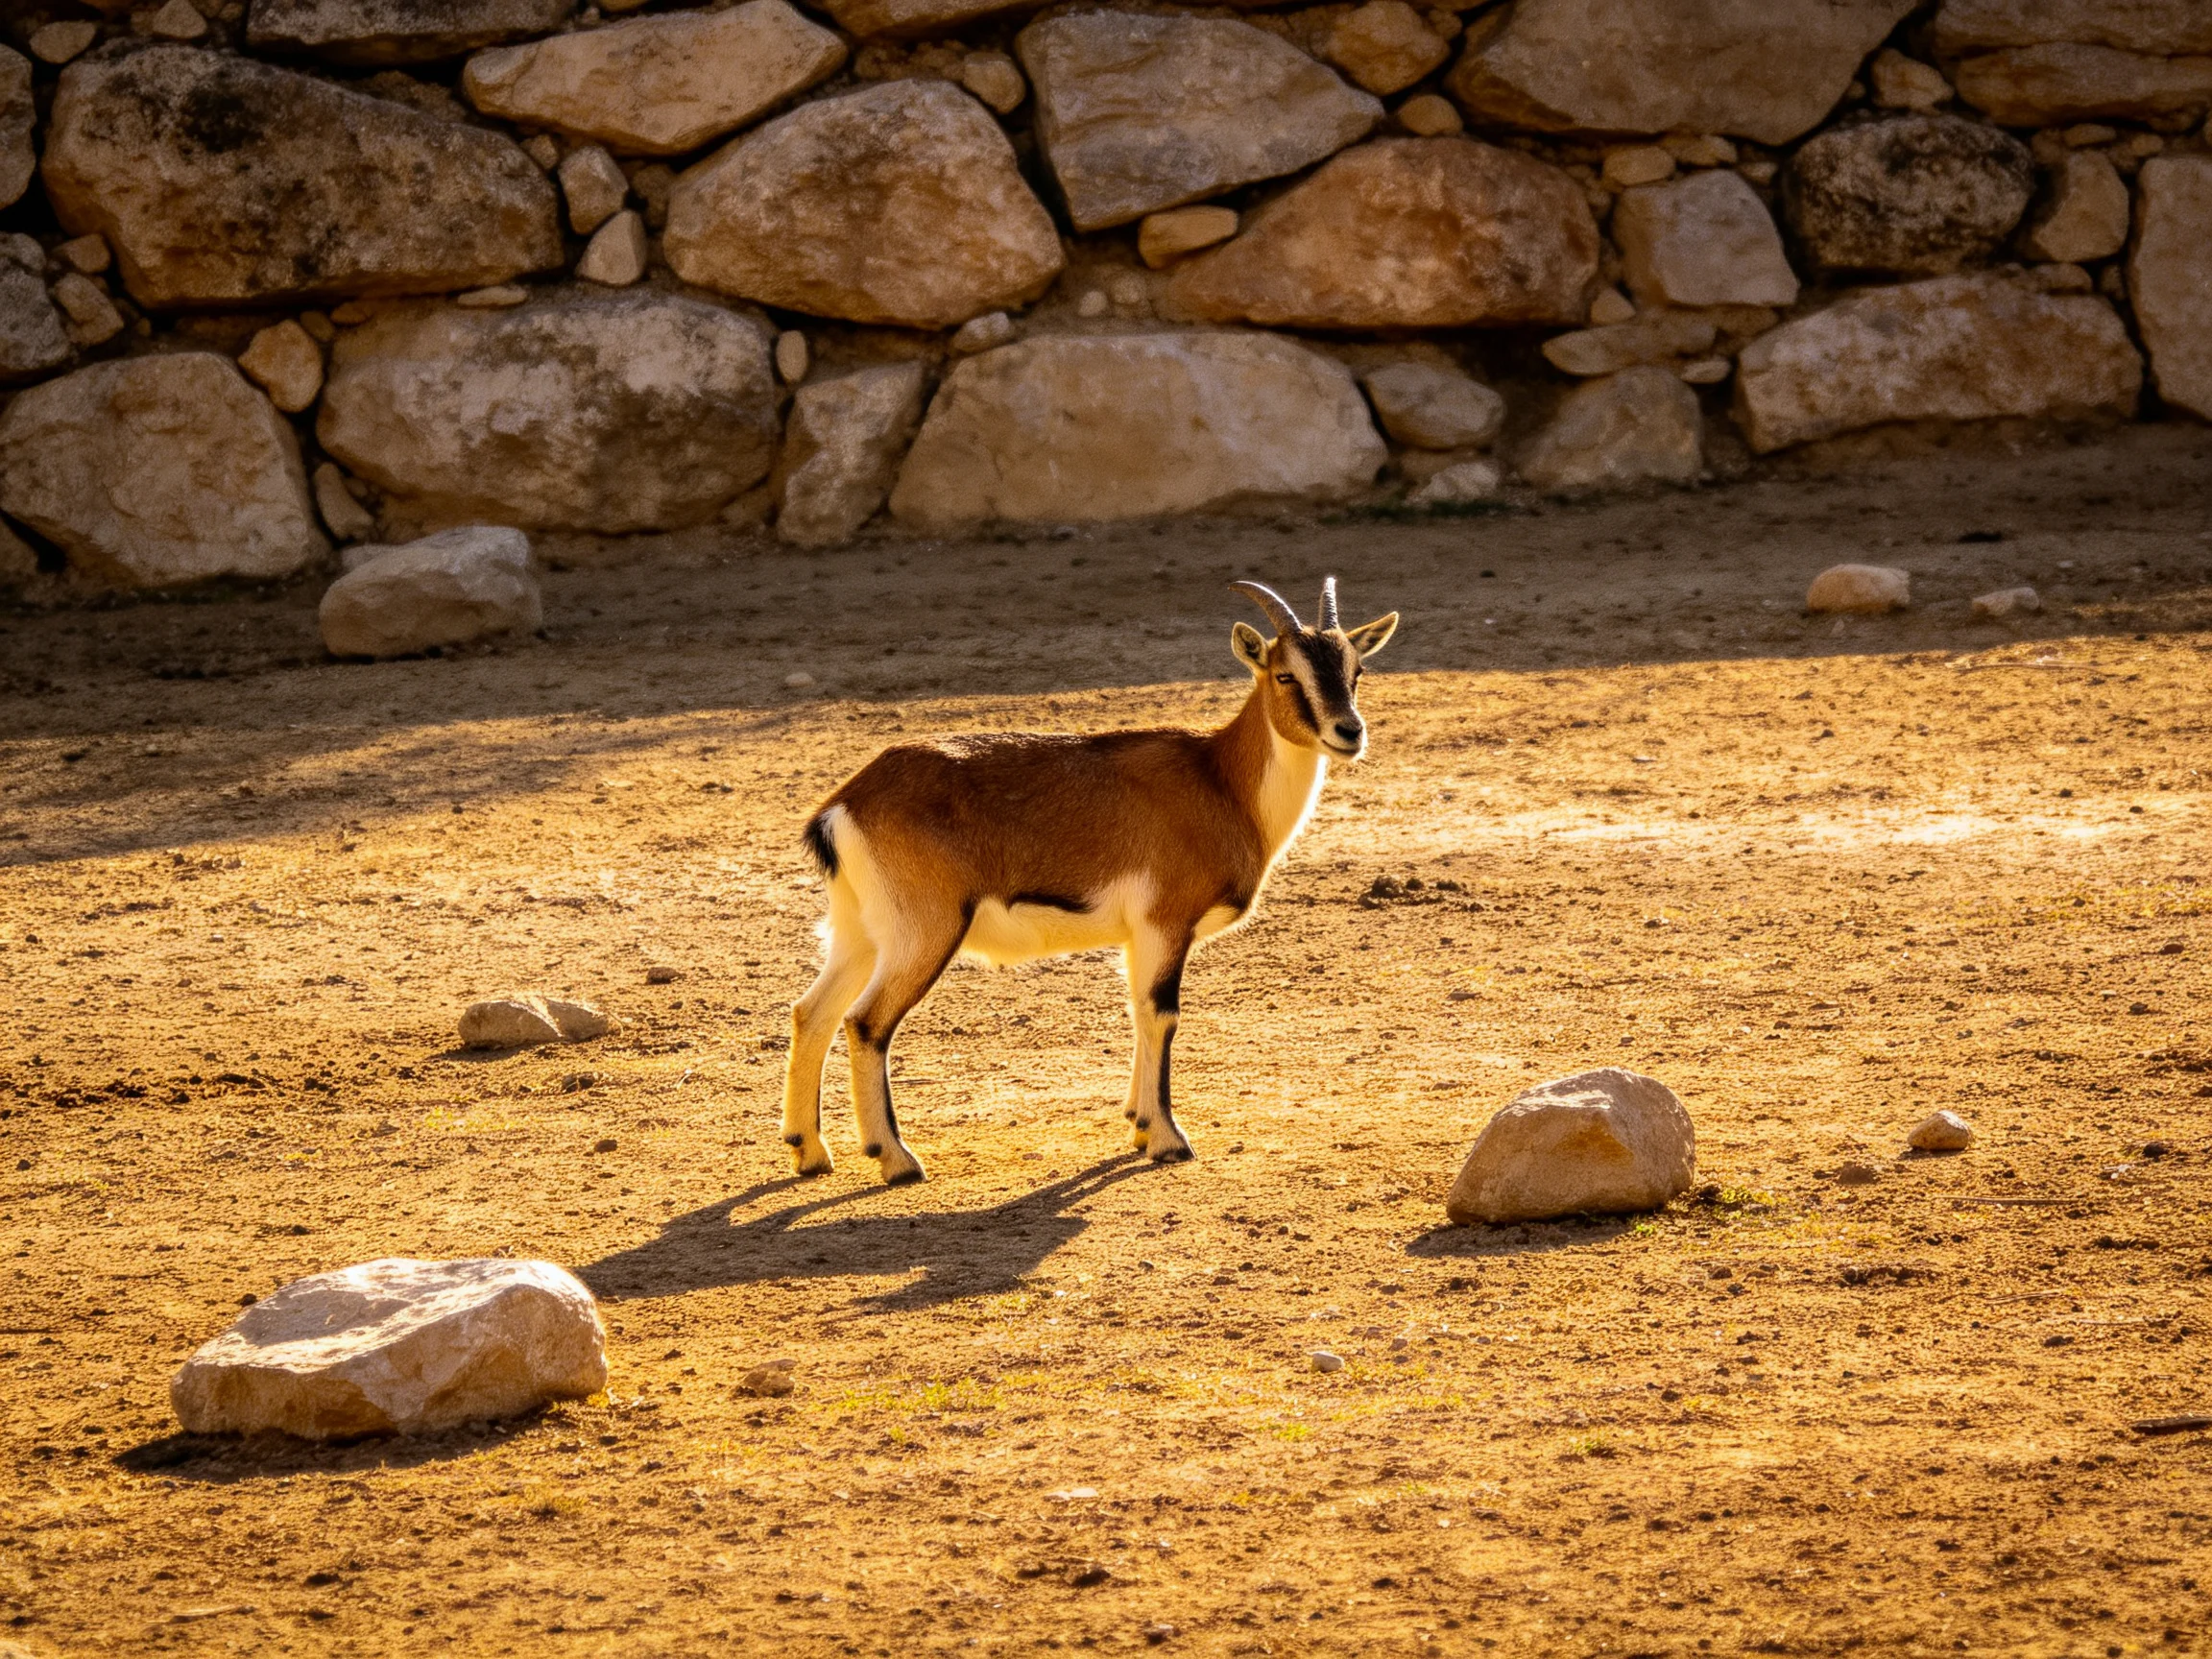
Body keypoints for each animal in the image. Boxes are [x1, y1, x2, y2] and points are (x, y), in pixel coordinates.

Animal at [781, 577, 1398, 1184]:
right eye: (1285, 673)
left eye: (1355, 672)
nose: (1349, 732)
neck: (1220, 781)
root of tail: (848, 802)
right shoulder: (1165, 925)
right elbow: (1162, 1014)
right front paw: (1169, 1141)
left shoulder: (1139, 937)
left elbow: (1139, 1012)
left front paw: (1140, 1126)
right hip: (925, 935)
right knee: (865, 1022)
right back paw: (897, 1161)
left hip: (860, 934)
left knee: (814, 1012)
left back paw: (810, 1152)